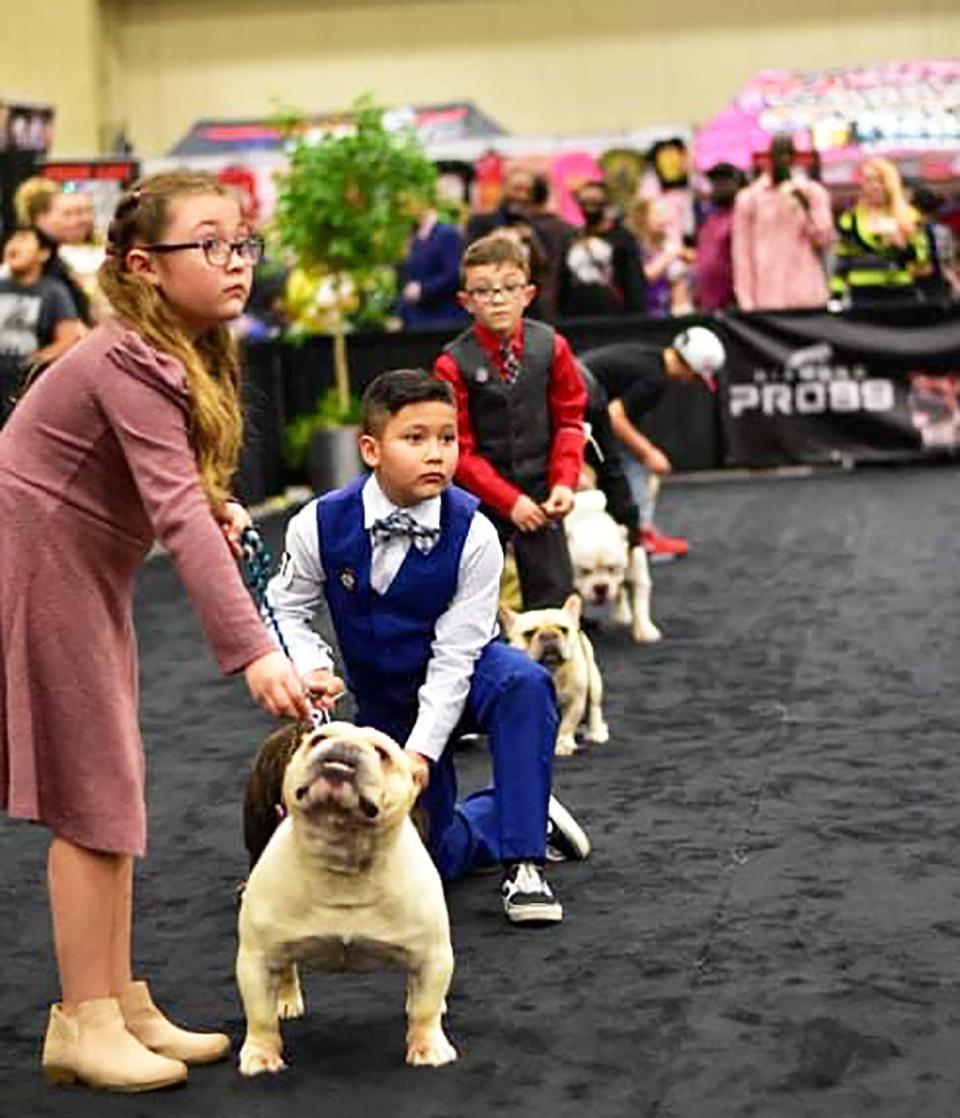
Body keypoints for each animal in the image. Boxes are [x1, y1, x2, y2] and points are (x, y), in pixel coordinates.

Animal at [567, 485, 666, 643]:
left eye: (611, 568)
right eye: (585, 571)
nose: (601, 588)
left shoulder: (634, 564)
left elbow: (640, 602)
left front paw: (645, 631)